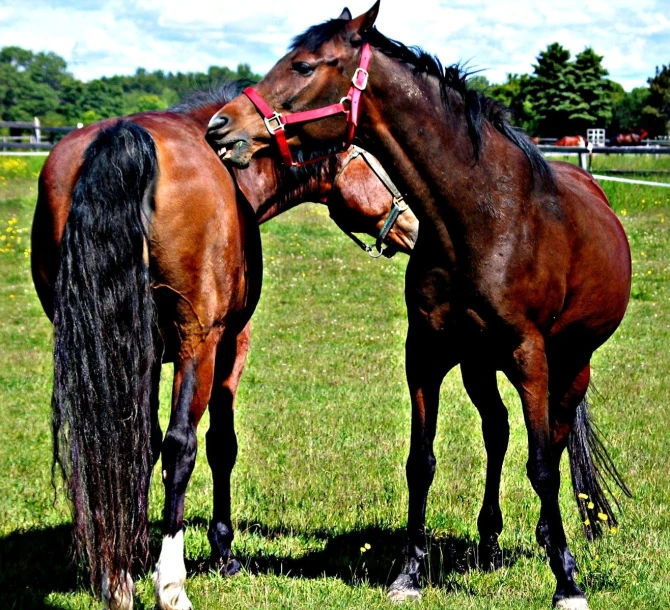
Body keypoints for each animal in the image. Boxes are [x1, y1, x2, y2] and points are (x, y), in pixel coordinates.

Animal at [32, 82, 420, 608]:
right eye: (388, 167)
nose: (421, 228)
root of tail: (124, 138)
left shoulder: (143, 355)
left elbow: (139, 445)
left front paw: (132, 555)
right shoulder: (229, 347)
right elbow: (219, 445)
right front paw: (222, 551)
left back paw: (117, 577)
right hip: (200, 346)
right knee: (181, 447)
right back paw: (171, 586)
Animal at [210, 5, 636, 608]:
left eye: (306, 65)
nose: (220, 128)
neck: (482, 219)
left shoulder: (529, 357)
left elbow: (543, 470)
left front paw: (567, 580)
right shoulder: (427, 354)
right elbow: (421, 461)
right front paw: (408, 573)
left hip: (570, 366)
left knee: (551, 442)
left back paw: (546, 540)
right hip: (480, 365)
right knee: (498, 431)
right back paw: (488, 539)